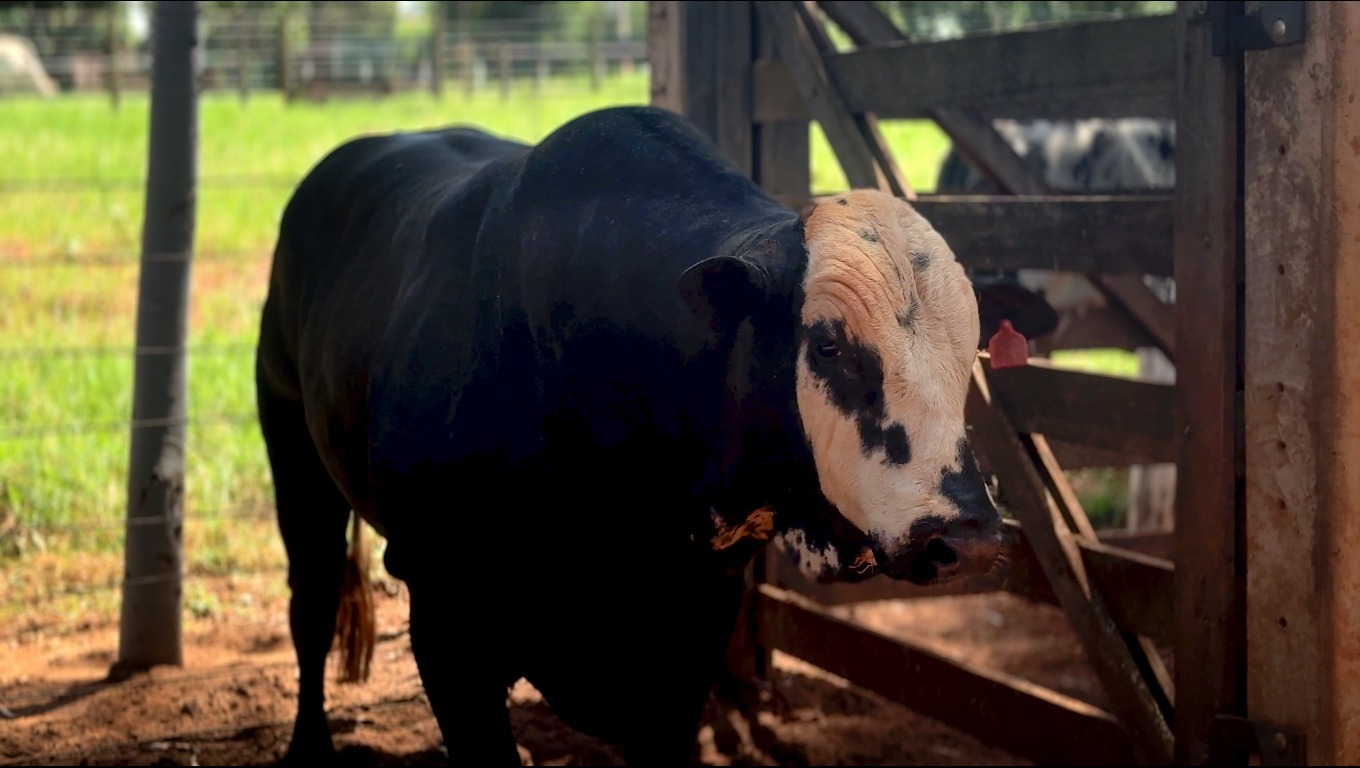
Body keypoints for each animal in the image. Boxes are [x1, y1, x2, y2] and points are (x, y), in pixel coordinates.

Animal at [255, 104, 1006, 761]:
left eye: (971, 350)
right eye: (827, 346)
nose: (964, 534)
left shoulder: (691, 634)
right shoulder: (446, 619)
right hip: (293, 456)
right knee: (311, 605)